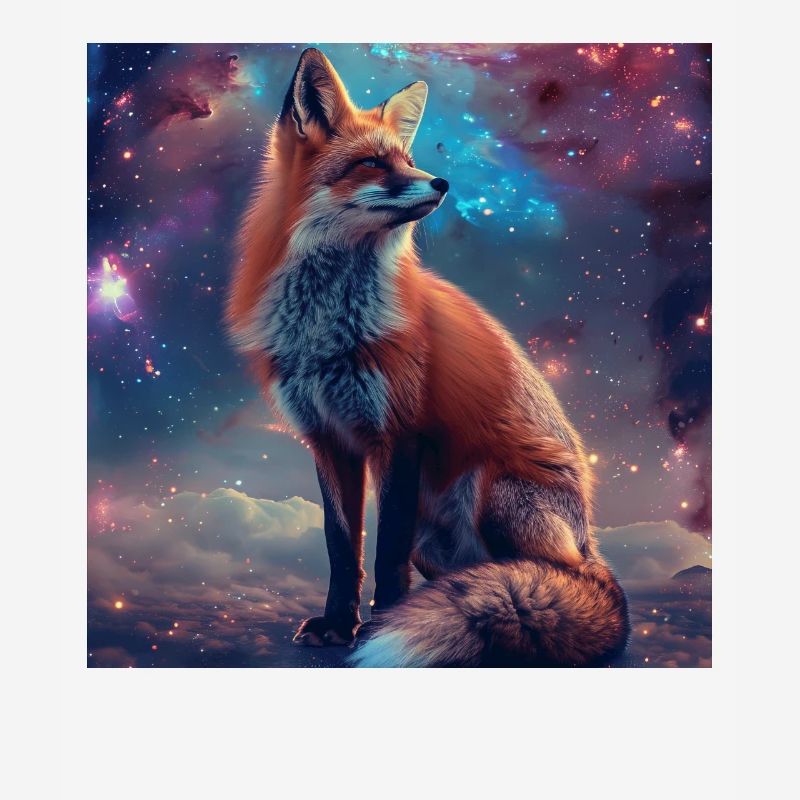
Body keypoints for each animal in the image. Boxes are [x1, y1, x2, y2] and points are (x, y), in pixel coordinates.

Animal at [226, 48, 629, 667]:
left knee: (547, 575)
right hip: (435, 537)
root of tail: (592, 545)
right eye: (372, 163)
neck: (326, 333)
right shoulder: (329, 438)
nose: (441, 181)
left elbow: (385, 550)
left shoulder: (401, 434)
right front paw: (337, 624)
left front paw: (382, 625)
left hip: (489, 488)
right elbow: (341, 548)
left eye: (409, 160)